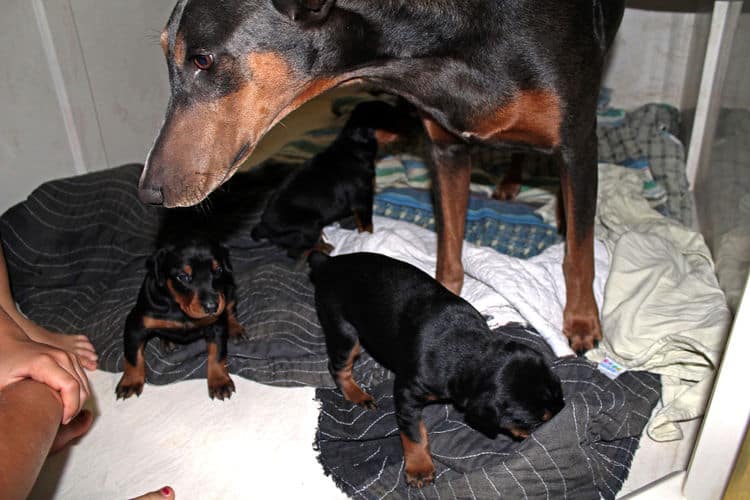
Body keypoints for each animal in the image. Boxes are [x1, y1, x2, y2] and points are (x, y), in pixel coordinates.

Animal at [114, 239, 245, 402]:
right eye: (182, 276)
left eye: (218, 270)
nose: (212, 307)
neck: (180, 309)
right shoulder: (136, 323)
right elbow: (133, 356)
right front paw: (130, 382)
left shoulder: (216, 325)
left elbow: (217, 354)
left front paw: (219, 382)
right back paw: (167, 341)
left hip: (229, 290)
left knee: (230, 308)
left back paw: (235, 329)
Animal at [141, 0, 628, 354]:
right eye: (166, 54)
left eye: (203, 59)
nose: (149, 193)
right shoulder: (447, 148)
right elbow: (449, 243)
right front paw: (443, 296)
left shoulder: (578, 143)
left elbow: (580, 253)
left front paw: (581, 319)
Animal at [306, 252, 564, 486]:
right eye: (533, 422)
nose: (558, 417)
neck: (472, 351)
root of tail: (328, 262)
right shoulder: (406, 394)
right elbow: (414, 434)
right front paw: (419, 469)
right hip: (343, 330)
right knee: (338, 366)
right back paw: (357, 395)